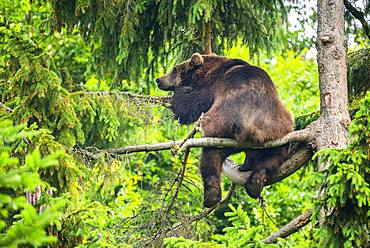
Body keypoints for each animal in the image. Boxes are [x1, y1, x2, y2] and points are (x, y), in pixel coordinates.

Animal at [155, 52, 294, 207]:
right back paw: (253, 180)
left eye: (174, 69)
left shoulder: (211, 86)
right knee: (272, 157)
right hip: (278, 132)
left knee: (210, 155)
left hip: (221, 125)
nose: (158, 79)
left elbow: (192, 103)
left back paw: (211, 194)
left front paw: (177, 99)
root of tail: (250, 129)